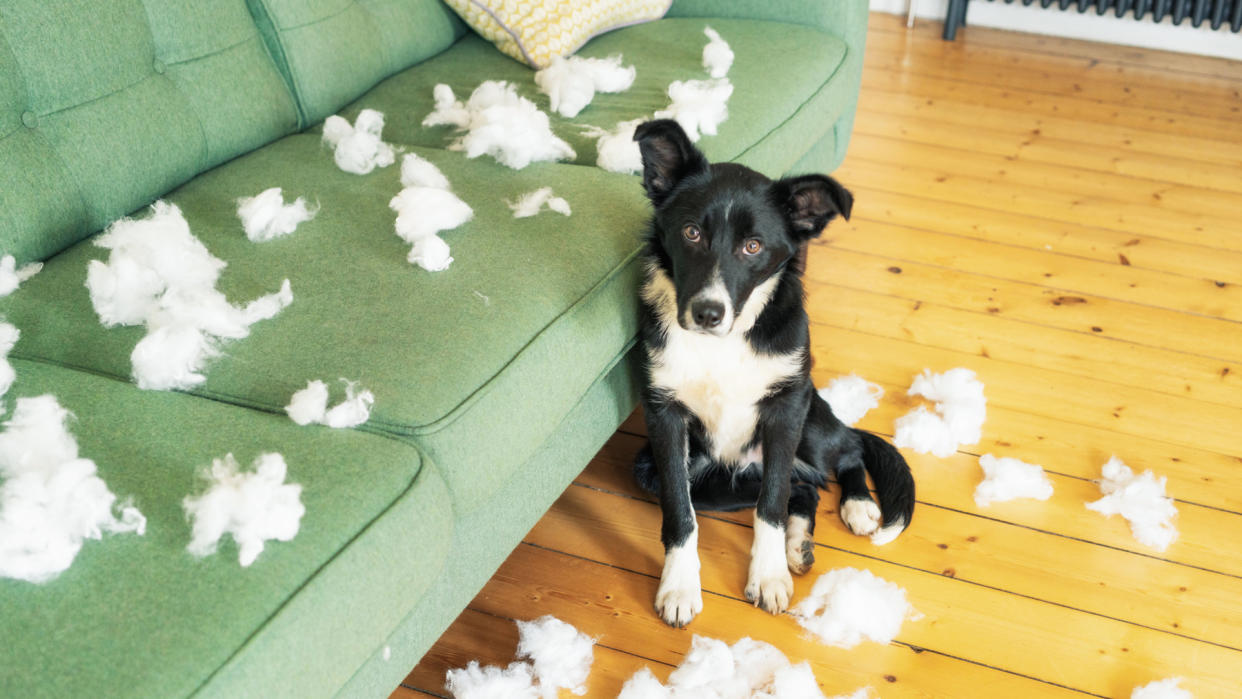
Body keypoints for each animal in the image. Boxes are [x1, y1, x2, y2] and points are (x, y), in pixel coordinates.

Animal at [635, 120, 919, 628]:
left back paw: (857, 506)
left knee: (845, 452)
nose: (708, 313)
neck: (724, 343)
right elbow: (679, 512)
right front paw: (679, 587)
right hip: (692, 475)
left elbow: (770, 505)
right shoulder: (663, 416)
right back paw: (798, 544)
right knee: (802, 488)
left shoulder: (785, 409)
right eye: (691, 232)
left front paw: (767, 578)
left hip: (811, 421)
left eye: (754, 246)